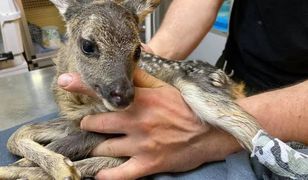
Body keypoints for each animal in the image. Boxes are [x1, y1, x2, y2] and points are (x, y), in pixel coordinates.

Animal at [1, 0, 306, 179]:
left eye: (137, 50)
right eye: (88, 45)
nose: (123, 95)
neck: (81, 101)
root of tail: (231, 82)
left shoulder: (105, 125)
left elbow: (56, 148)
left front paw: (57, 167)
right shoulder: (75, 120)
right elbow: (17, 134)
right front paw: (58, 165)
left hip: (199, 93)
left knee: (253, 131)